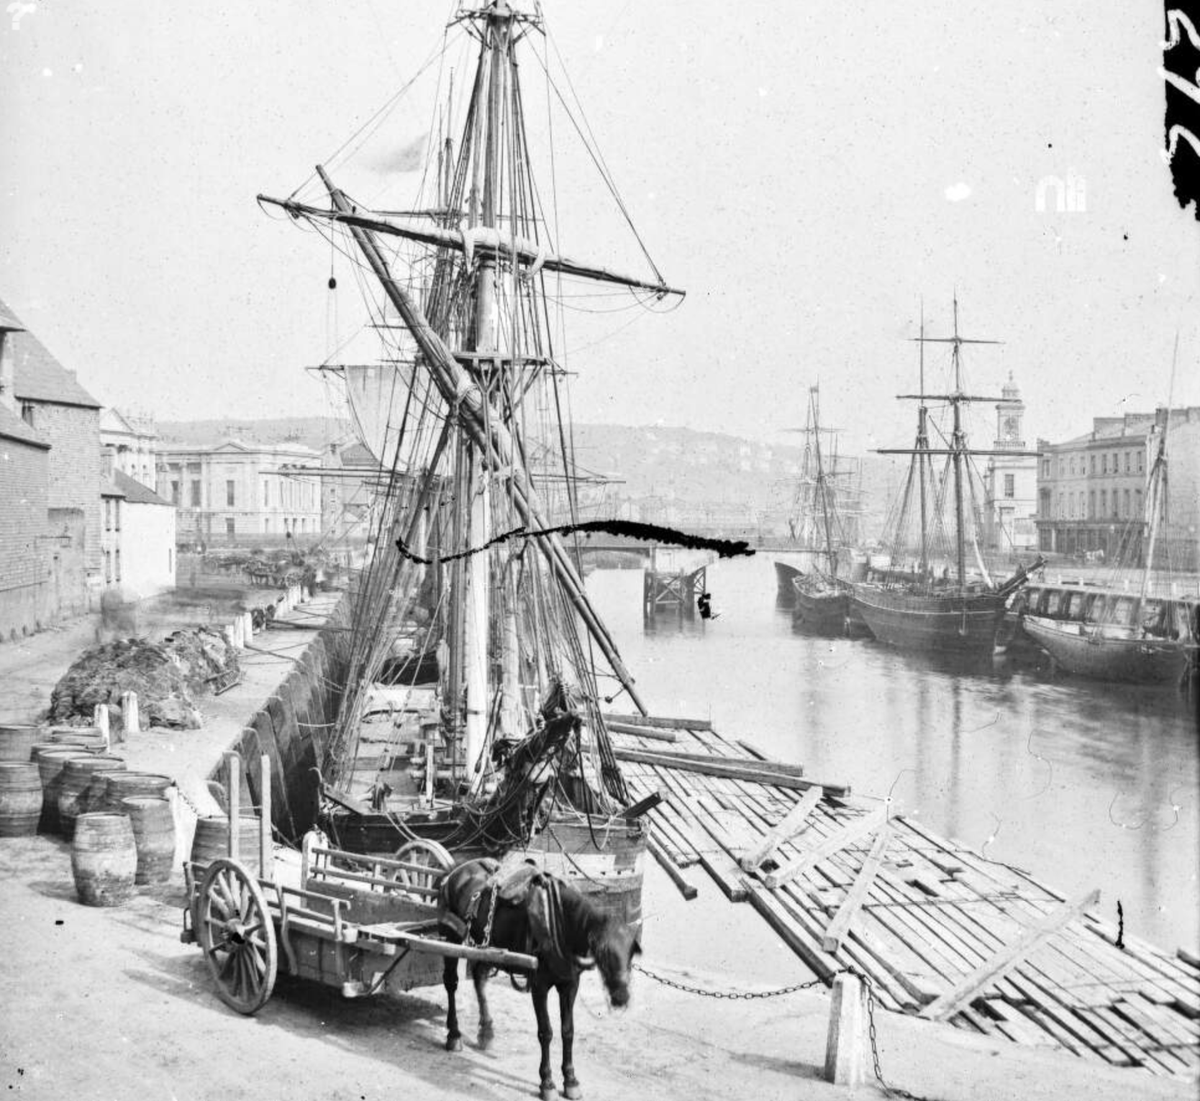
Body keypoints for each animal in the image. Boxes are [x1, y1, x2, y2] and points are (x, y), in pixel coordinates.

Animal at [439, 863, 643, 1101]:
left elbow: (568, 1031)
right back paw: (454, 1034)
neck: (559, 923)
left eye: (630, 953)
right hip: (450, 937)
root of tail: (456, 871)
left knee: (479, 980)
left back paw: (486, 1032)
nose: (621, 997)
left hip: (486, 947)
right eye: (602, 953)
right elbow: (546, 1033)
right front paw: (547, 1083)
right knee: (451, 983)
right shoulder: (539, 986)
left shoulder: (570, 984)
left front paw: (571, 1079)